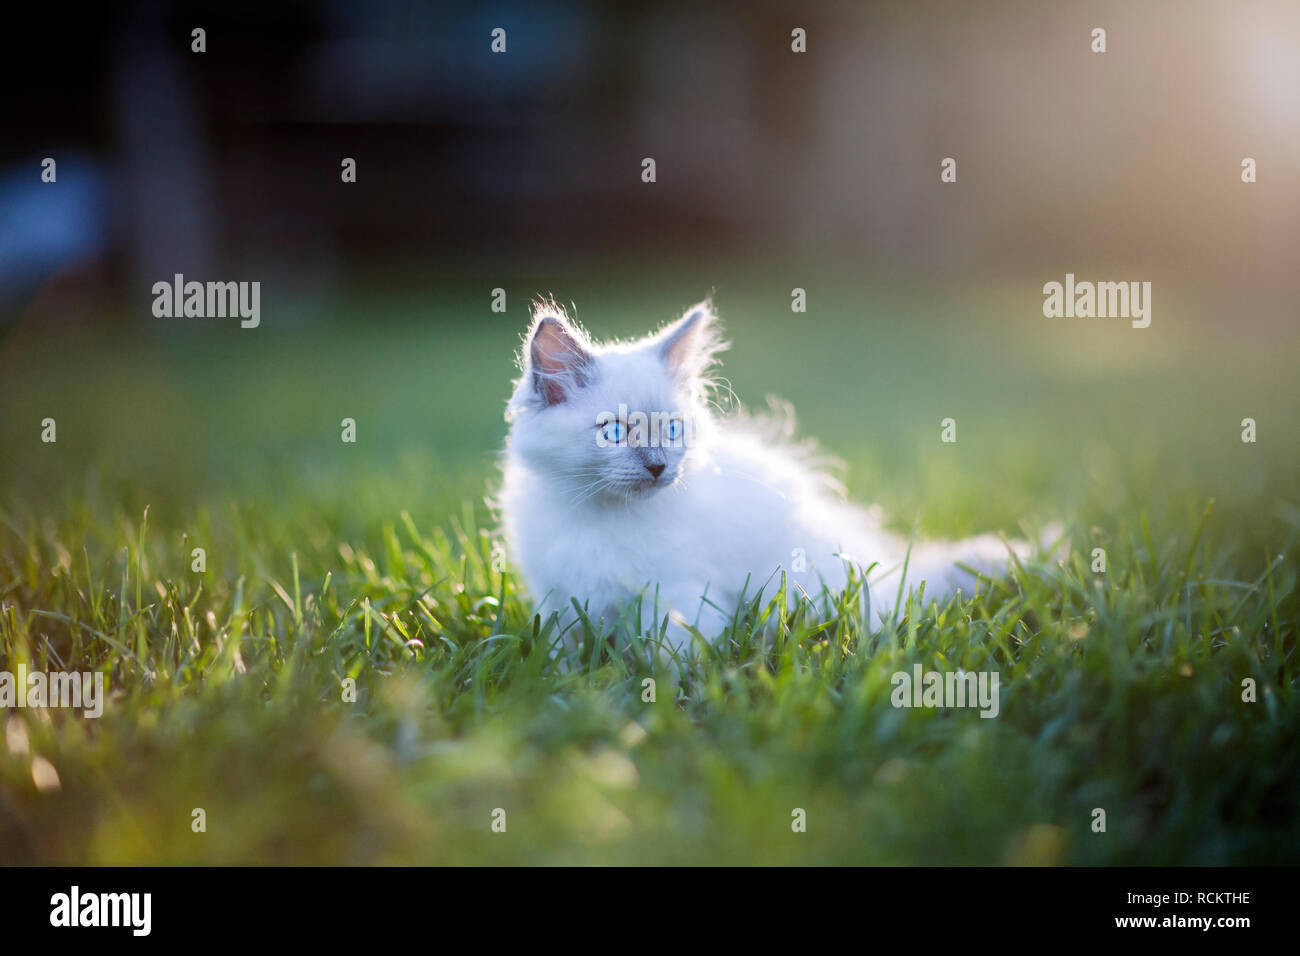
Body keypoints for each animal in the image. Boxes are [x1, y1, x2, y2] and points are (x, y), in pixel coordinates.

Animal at [496, 299, 1045, 658]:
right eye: (613, 432)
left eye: (672, 429)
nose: (658, 466)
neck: (602, 517)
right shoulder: (559, 597)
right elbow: (563, 655)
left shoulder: (678, 592)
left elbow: (672, 657)